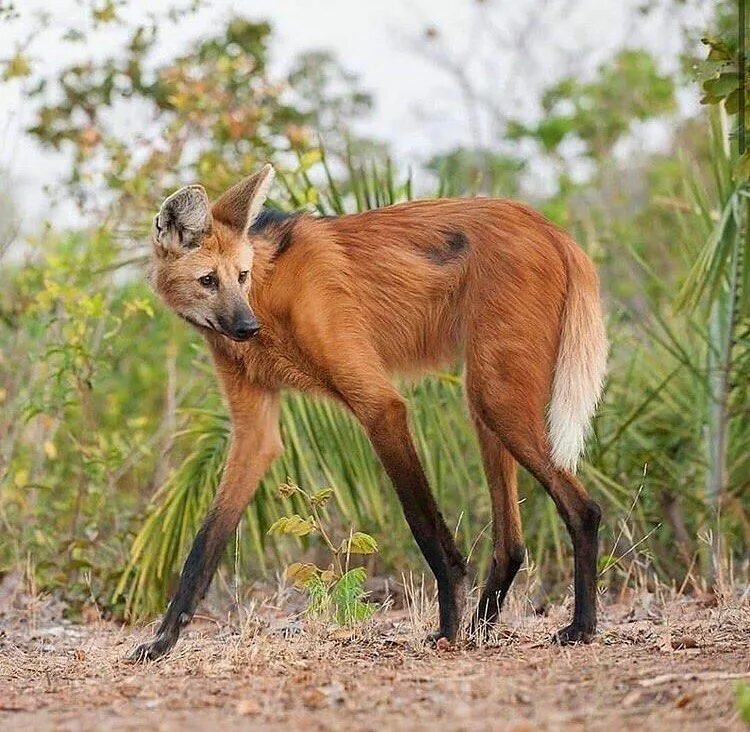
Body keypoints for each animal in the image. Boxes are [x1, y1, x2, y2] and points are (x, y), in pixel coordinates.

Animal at [132, 166, 608, 664]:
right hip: (485, 401)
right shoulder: (254, 432)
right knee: (511, 544)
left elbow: (422, 523)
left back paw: (579, 626)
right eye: (209, 280)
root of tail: (552, 229)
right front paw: (163, 640)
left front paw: (447, 628)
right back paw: (482, 628)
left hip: (497, 400)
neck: (268, 293)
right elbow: (205, 543)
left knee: (584, 508)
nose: (247, 328)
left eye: (239, 277)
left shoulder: (380, 405)